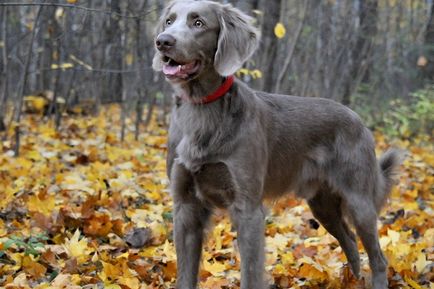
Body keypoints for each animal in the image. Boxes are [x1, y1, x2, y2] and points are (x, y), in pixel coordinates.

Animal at [153, 1, 400, 286]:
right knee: (349, 240)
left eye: (198, 23)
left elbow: (250, 274)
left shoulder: (248, 209)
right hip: (323, 204)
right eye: (169, 21)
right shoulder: (185, 207)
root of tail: (359, 120)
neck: (201, 111)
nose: (163, 41)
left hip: (359, 201)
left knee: (378, 258)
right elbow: (185, 275)